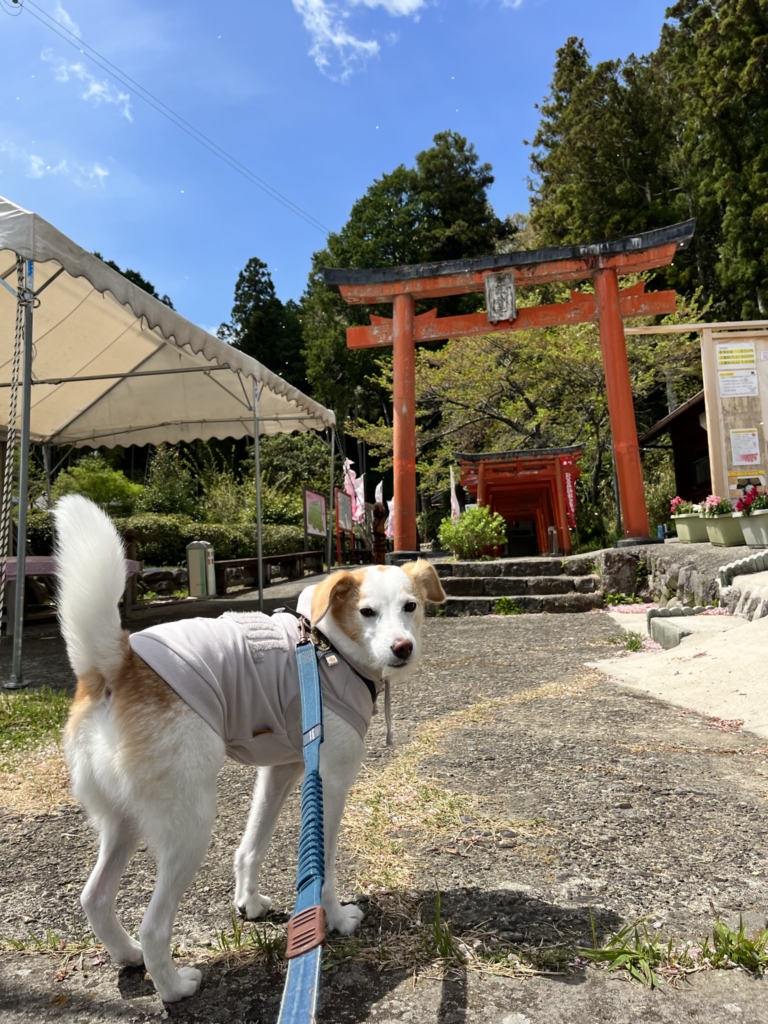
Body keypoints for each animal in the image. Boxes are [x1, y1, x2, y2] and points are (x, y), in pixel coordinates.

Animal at [54, 493, 444, 999]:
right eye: (367, 612)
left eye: (411, 606)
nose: (402, 648)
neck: (325, 644)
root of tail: (114, 664)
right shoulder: (329, 780)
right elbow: (322, 864)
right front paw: (336, 919)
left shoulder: (281, 770)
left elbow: (252, 844)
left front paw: (250, 902)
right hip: (189, 825)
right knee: (154, 925)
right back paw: (174, 986)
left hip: (123, 821)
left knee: (95, 897)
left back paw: (127, 955)